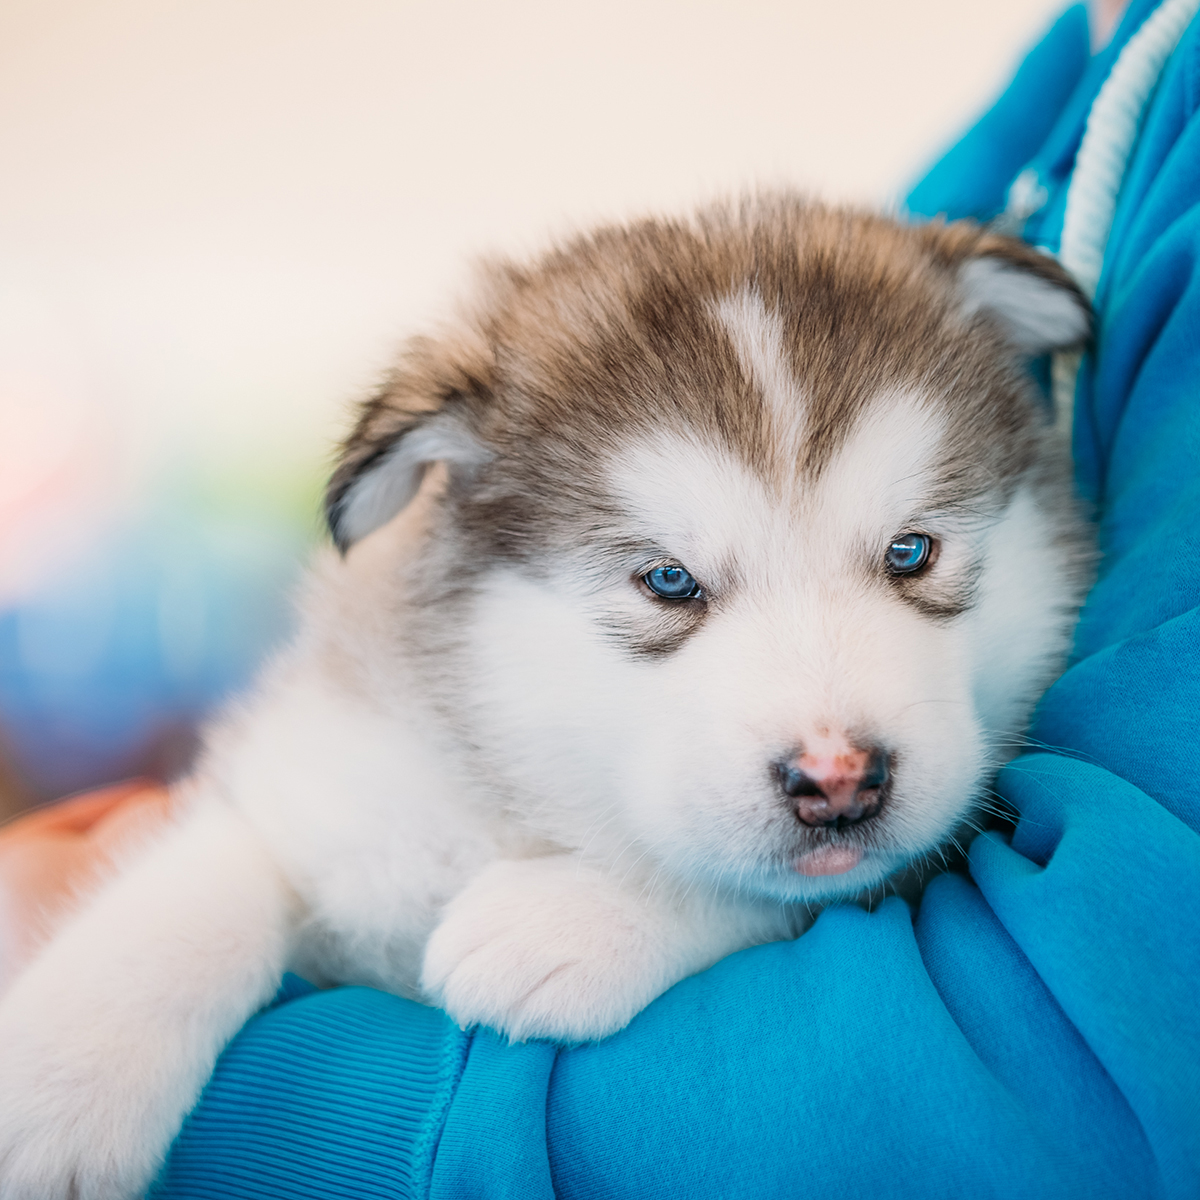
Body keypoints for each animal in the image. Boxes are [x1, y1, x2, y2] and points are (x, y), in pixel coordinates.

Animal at [0, 196, 1094, 1200]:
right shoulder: (323, 780)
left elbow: (790, 887)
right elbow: (201, 891)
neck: (527, 800)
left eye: (912, 552)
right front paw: (57, 1084)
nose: (839, 780)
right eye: (667, 581)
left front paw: (576, 918)